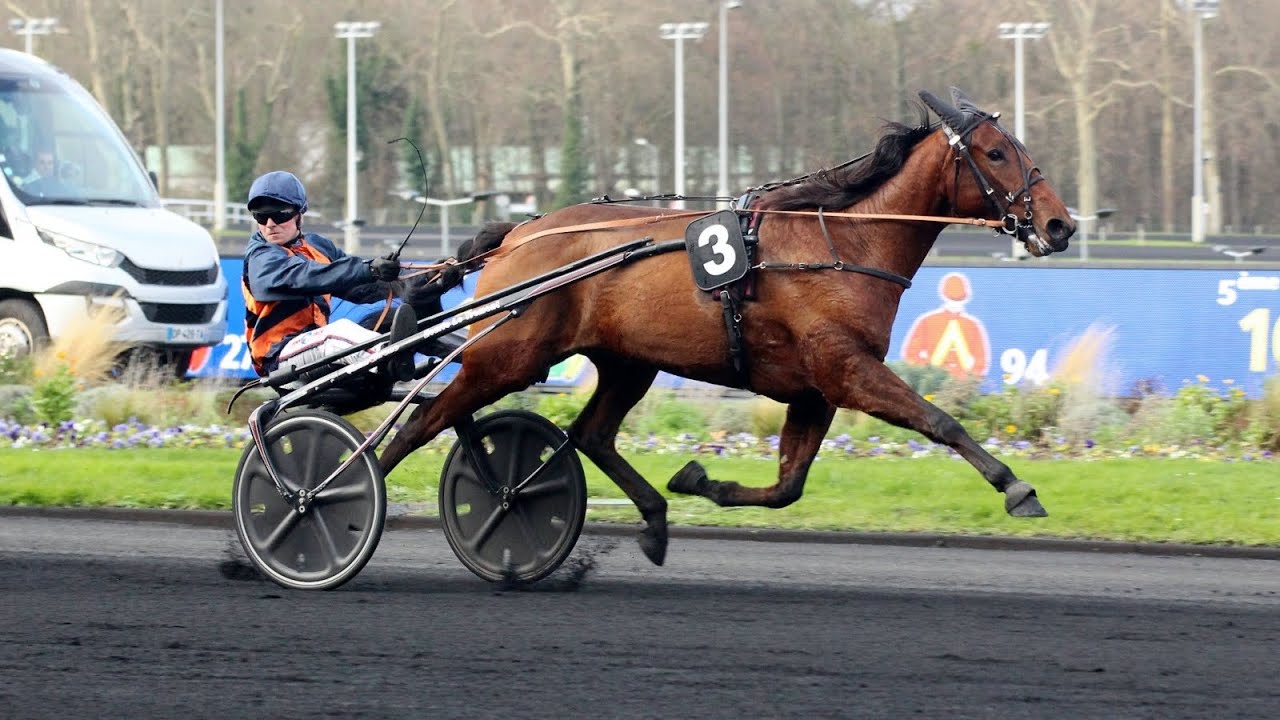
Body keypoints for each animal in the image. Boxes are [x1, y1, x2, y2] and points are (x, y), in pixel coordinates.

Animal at [381, 87, 1080, 563]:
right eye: (997, 152)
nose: (1060, 224)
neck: (842, 242)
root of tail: (517, 235)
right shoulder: (846, 369)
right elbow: (941, 421)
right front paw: (1017, 488)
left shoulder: (815, 389)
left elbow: (788, 486)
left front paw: (699, 479)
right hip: (506, 356)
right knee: (421, 423)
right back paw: (361, 500)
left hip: (627, 362)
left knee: (591, 434)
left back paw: (655, 517)